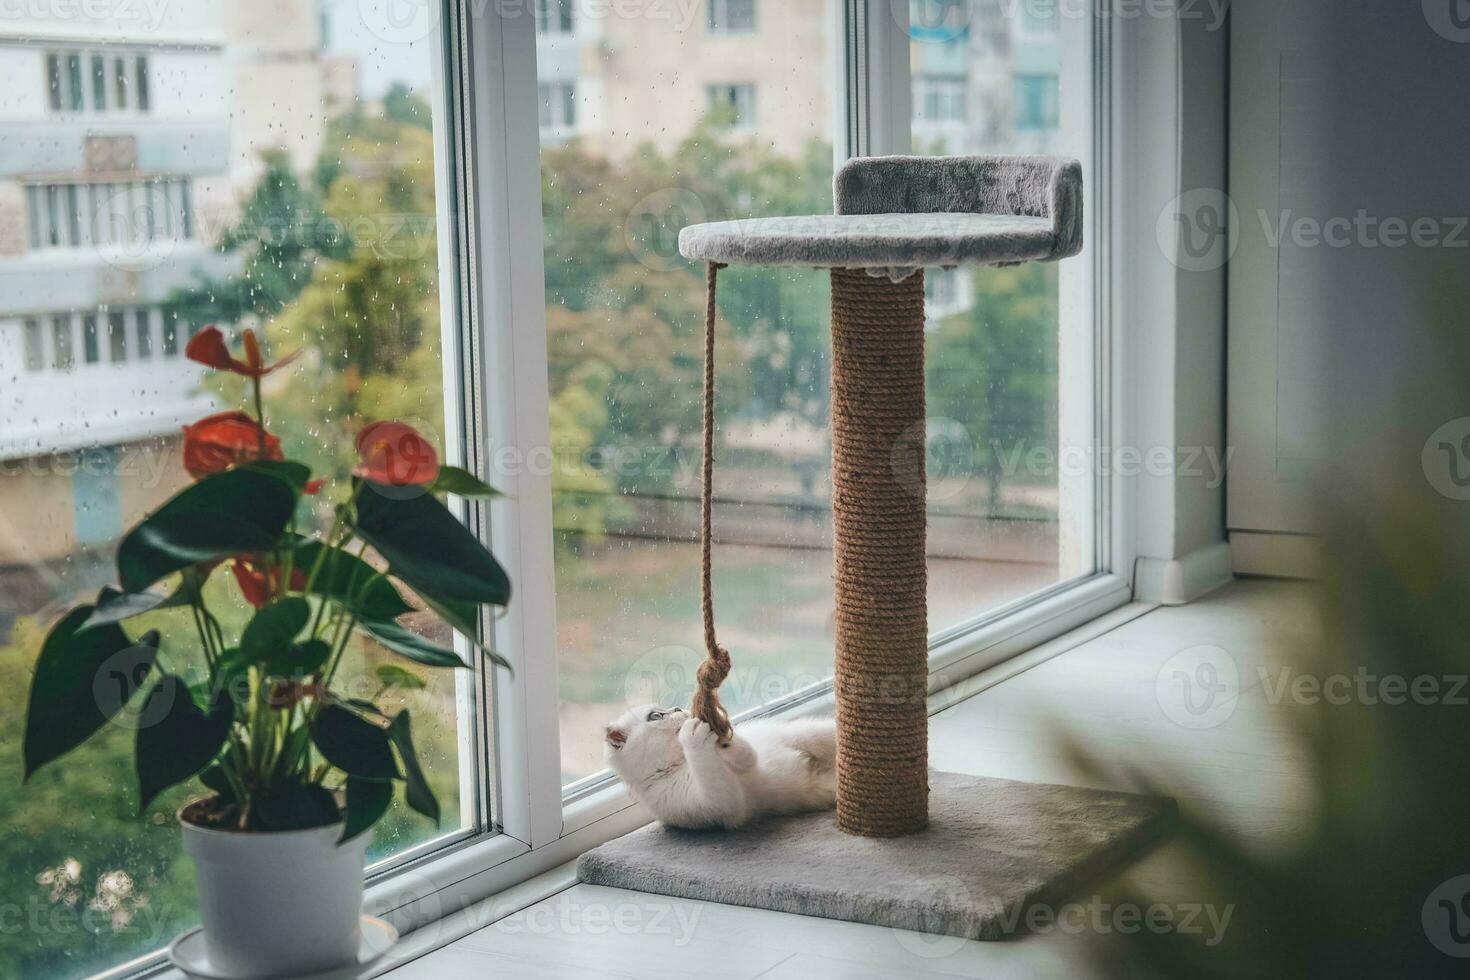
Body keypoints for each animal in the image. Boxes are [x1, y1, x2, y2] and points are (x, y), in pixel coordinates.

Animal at [599, 702, 834, 834]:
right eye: (655, 716)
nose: (677, 708)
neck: (681, 761)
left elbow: (746, 754)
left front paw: (721, 732)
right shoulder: (720, 805)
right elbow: (712, 771)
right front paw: (694, 734)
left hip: (808, 733)